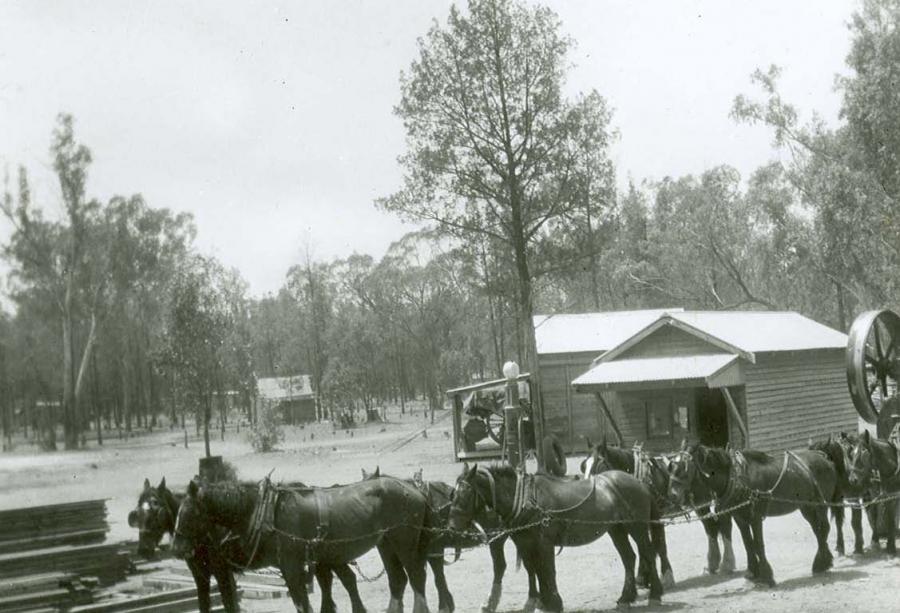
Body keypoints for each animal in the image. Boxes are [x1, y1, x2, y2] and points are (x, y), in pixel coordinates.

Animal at [127, 478, 366, 612]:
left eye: (156, 509)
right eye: (137, 511)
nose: (143, 550)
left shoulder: (222, 573)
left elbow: (229, 605)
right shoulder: (201, 576)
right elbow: (206, 605)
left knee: (343, 580)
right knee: (338, 580)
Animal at [171, 478, 432, 612]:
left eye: (189, 513)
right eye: (177, 512)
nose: (176, 548)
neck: (265, 511)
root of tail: (415, 489)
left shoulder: (292, 567)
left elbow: (302, 604)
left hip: (404, 542)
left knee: (417, 577)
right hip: (386, 544)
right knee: (398, 580)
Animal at [448, 462, 660, 608]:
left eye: (465, 494)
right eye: (452, 495)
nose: (451, 528)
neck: (525, 498)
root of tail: (639, 482)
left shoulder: (544, 543)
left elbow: (548, 570)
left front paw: (554, 602)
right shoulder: (526, 543)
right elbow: (535, 570)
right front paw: (544, 602)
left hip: (637, 527)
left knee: (648, 553)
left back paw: (656, 595)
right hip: (617, 529)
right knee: (629, 557)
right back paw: (626, 596)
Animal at [580, 438, 736, 580]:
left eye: (599, 465)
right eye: (583, 466)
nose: (587, 493)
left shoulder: (656, 516)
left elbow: (659, 544)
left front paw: (666, 575)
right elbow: (643, 546)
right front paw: (643, 577)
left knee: (723, 526)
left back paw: (727, 564)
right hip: (699, 504)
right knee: (711, 528)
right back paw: (712, 565)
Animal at [668, 442, 836, 584]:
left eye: (684, 468)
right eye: (671, 466)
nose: (672, 495)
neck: (738, 478)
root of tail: (823, 457)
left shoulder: (755, 517)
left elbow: (758, 543)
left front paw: (766, 576)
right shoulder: (740, 518)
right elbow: (748, 543)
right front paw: (752, 573)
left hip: (820, 504)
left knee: (823, 528)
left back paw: (820, 563)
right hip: (806, 506)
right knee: (817, 529)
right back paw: (822, 562)